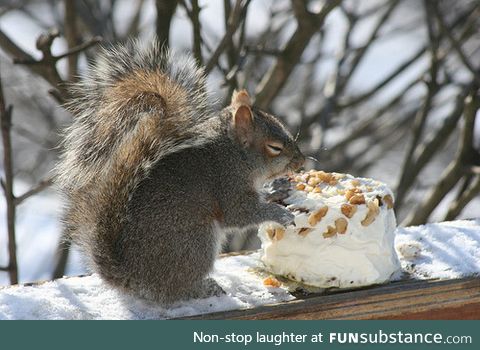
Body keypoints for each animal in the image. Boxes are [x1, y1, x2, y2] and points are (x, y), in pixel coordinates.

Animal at [55, 39, 304, 304]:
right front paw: (279, 213)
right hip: (195, 242)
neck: (235, 153)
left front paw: (279, 188)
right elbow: (240, 212)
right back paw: (203, 289)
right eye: (275, 148)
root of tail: (133, 278)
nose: (301, 161)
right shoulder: (228, 180)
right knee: (173, 292)